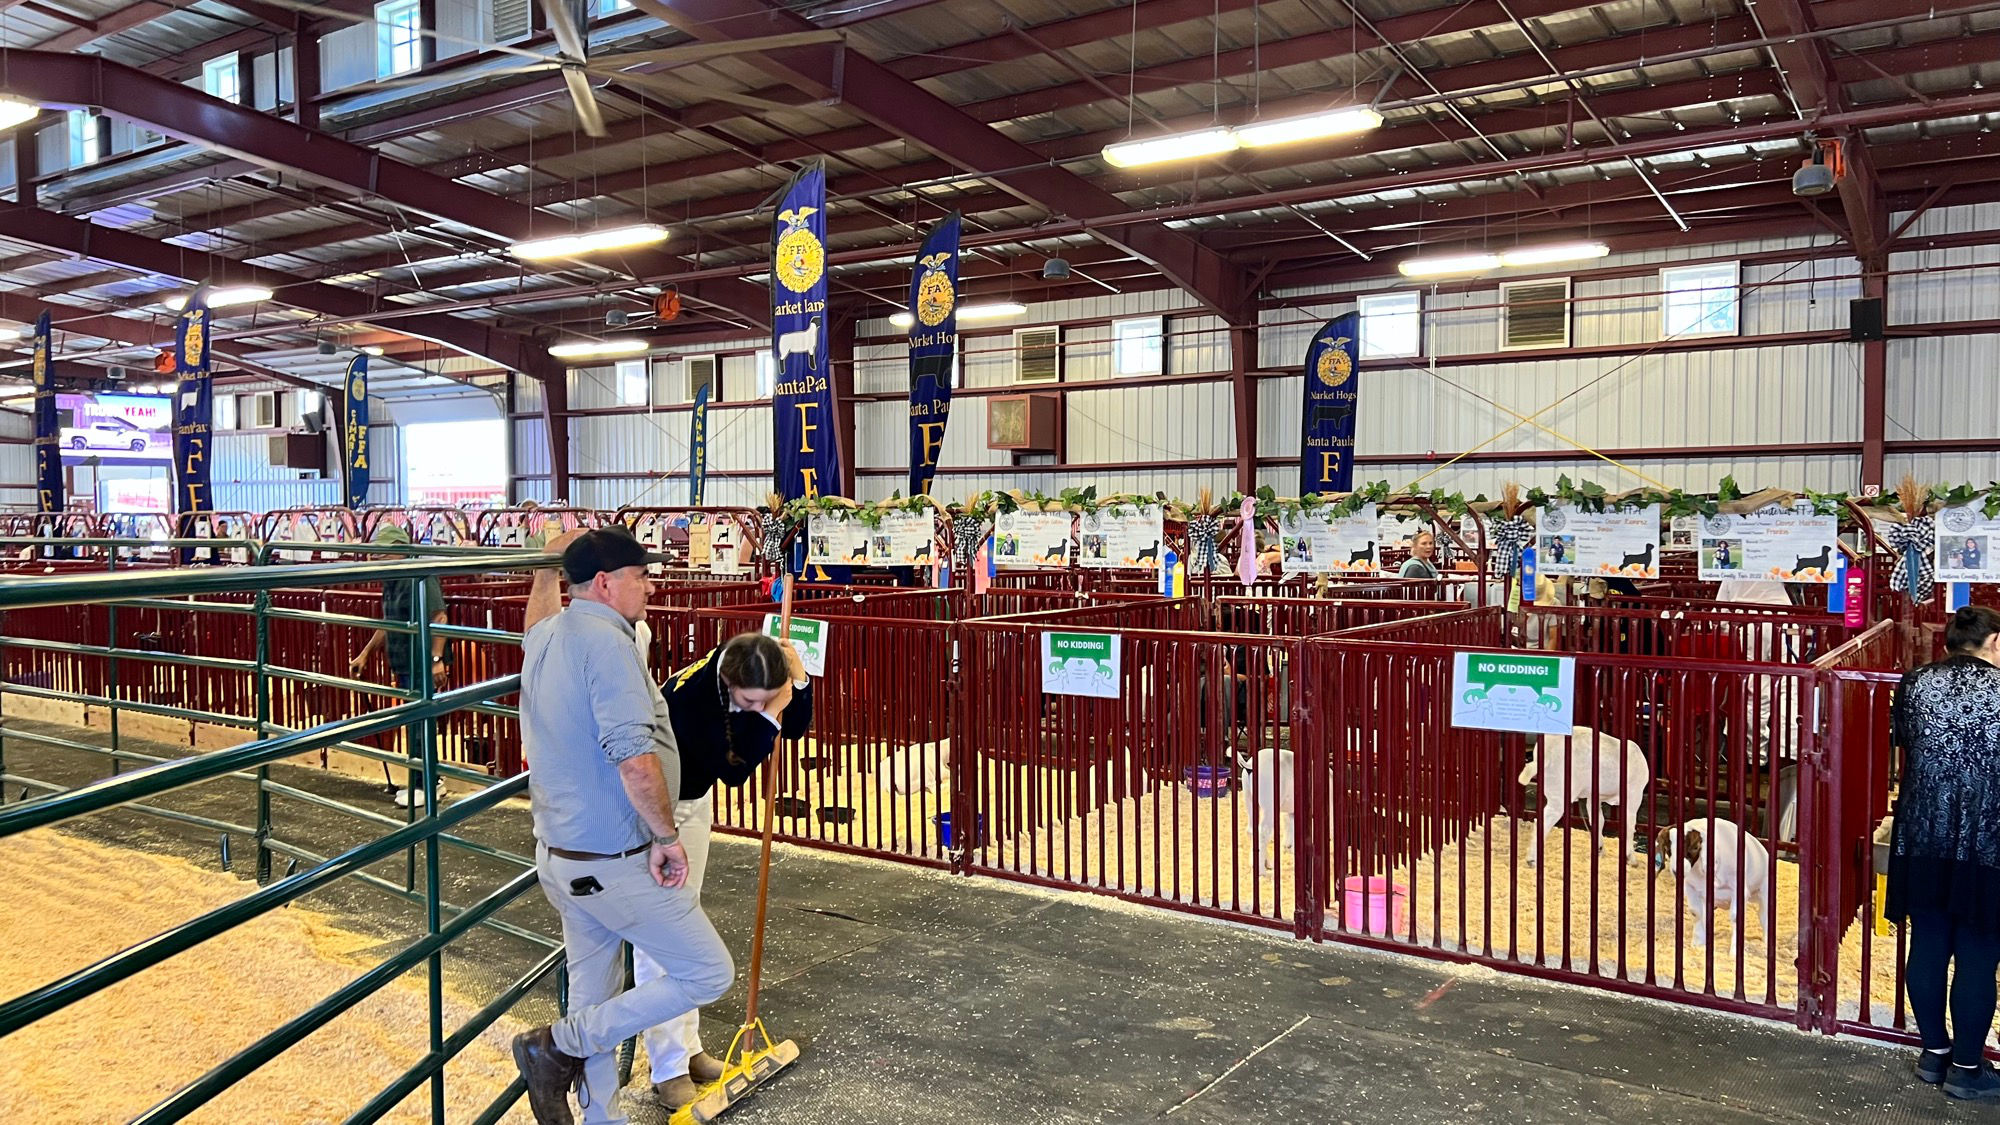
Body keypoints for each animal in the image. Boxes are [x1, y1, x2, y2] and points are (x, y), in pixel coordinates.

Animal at [1520, 720, 1648, 860]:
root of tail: (1546, 754)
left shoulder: (1594, 796)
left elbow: (1599, 820)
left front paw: (1599, 848)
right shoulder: (1634, 793)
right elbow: (1629, 824)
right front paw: (1630, 857)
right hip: (1560, 792)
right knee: (1545, 819)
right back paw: (1532, 859)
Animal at [1648, 812, 1776, 944]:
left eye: (1696, 847)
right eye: (1668, 849)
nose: (1677, 870)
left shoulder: (1739, 890)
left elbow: (1736, 918)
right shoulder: (1690, 887)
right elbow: (1696, 912)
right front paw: (1698, 943)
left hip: (1764, 892)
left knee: (1765, 918)